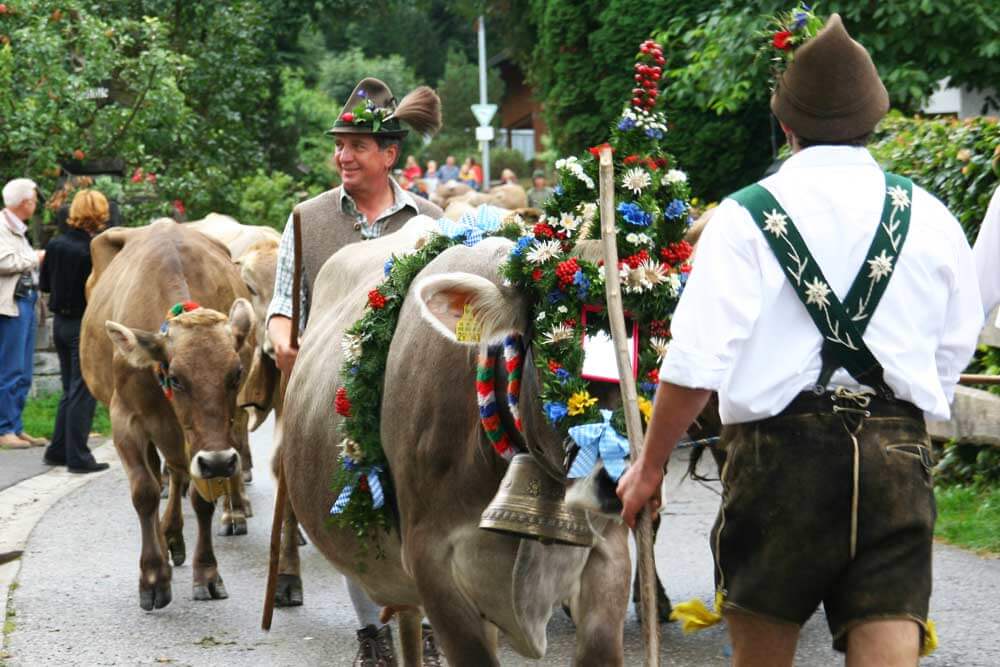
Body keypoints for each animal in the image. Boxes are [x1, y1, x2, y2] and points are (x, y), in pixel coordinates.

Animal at [81, 222, 258, 612]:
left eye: (236, 374)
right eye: (176, 378)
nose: (219, 462)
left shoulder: (211, 437)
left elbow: (202, 498)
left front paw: (207, 574)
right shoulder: (125, 418)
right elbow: (145, 491)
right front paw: (152, 577)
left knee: (178, 475)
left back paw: (174, 535)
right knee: (158, 474)